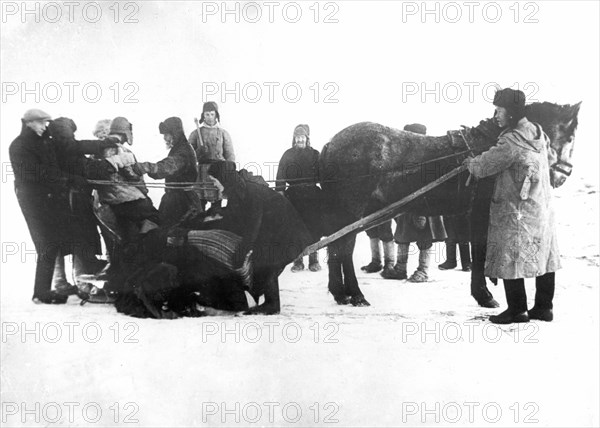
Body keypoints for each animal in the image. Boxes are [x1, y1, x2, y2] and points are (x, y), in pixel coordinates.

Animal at [318, 101, 580, 308]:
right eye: (570, 137)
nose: (563, 176)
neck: (489, 147)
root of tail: (331, 144)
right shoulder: (479, 214)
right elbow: (479, 252)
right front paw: (484, 295)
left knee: (336, 248)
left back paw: (341, 294)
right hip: (351, 214)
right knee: (344, 249)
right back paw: (355, 294)